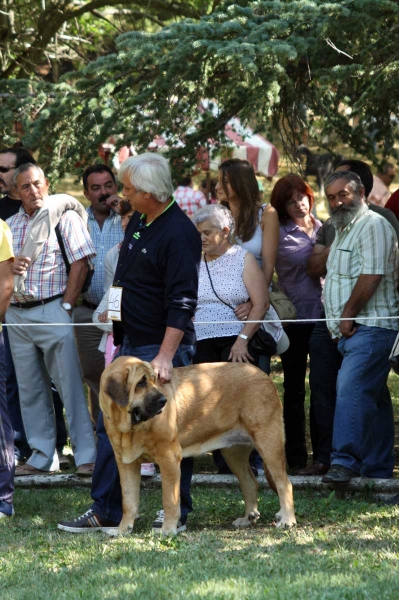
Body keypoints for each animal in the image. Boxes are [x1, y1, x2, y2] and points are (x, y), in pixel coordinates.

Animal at [100, 356, 296, 536]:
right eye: (141, 382)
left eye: (154, 380)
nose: (163, 400)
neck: (130, 428)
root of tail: (264, 376)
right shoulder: (127, 465)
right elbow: (128, 501)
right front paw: (122, 530)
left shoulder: (169, 459)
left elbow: (170, 500)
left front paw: (167, 529)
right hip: (233, 454)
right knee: (250, 483)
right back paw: (248, 518)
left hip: (268, 445)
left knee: (284, 484)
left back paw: (287, 520)